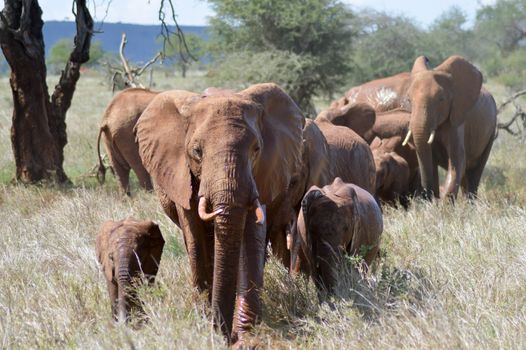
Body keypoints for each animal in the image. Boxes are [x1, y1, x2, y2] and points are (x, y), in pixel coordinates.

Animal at [135, 83, 306, 344]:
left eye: (257, 149)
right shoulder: (181, 175)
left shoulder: (260, 176)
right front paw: (205, 324)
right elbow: (195, 237)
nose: (224, 335)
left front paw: (246, 337)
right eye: (197, 151)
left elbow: (250, 237)